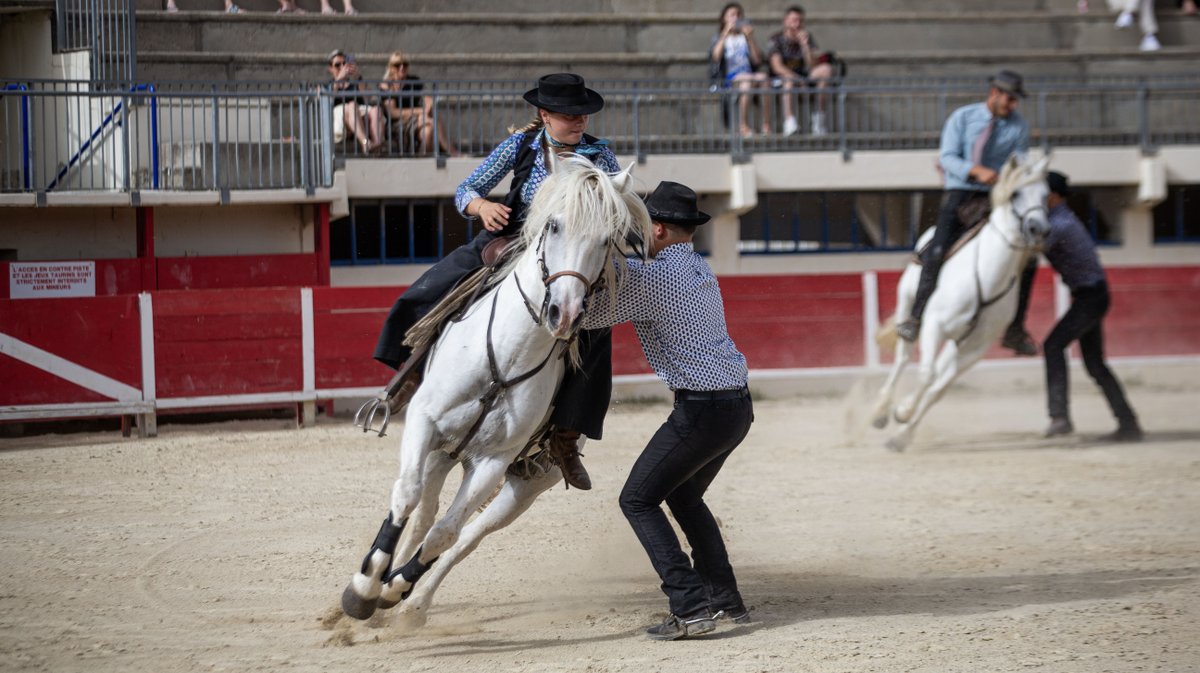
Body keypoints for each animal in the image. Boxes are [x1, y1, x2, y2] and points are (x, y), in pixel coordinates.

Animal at [343, 152, 652, 623]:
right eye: (553, 225)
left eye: (607, 239)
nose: (564, 313)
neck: (506, 358)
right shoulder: (424, 421)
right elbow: (407, 494)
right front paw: (364, 587)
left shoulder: (494, 461)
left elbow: (446, 535)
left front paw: (392, 589)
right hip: (446, 452)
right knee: (424, 511)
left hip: (522, 484)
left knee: (466, 535)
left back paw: (411, 604)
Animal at [873, 154, 1051, 448]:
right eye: (1015, 193)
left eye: (1046, 194)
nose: (1039, 229)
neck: (987, 279)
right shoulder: (934, 326)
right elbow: (927, 375)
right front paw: (902, 414)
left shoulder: (975, 348)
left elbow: (939, 388)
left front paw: (902, 433)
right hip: (906, 304)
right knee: (902, 357)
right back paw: (880, 411)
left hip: (957, 342)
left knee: (937, 371)